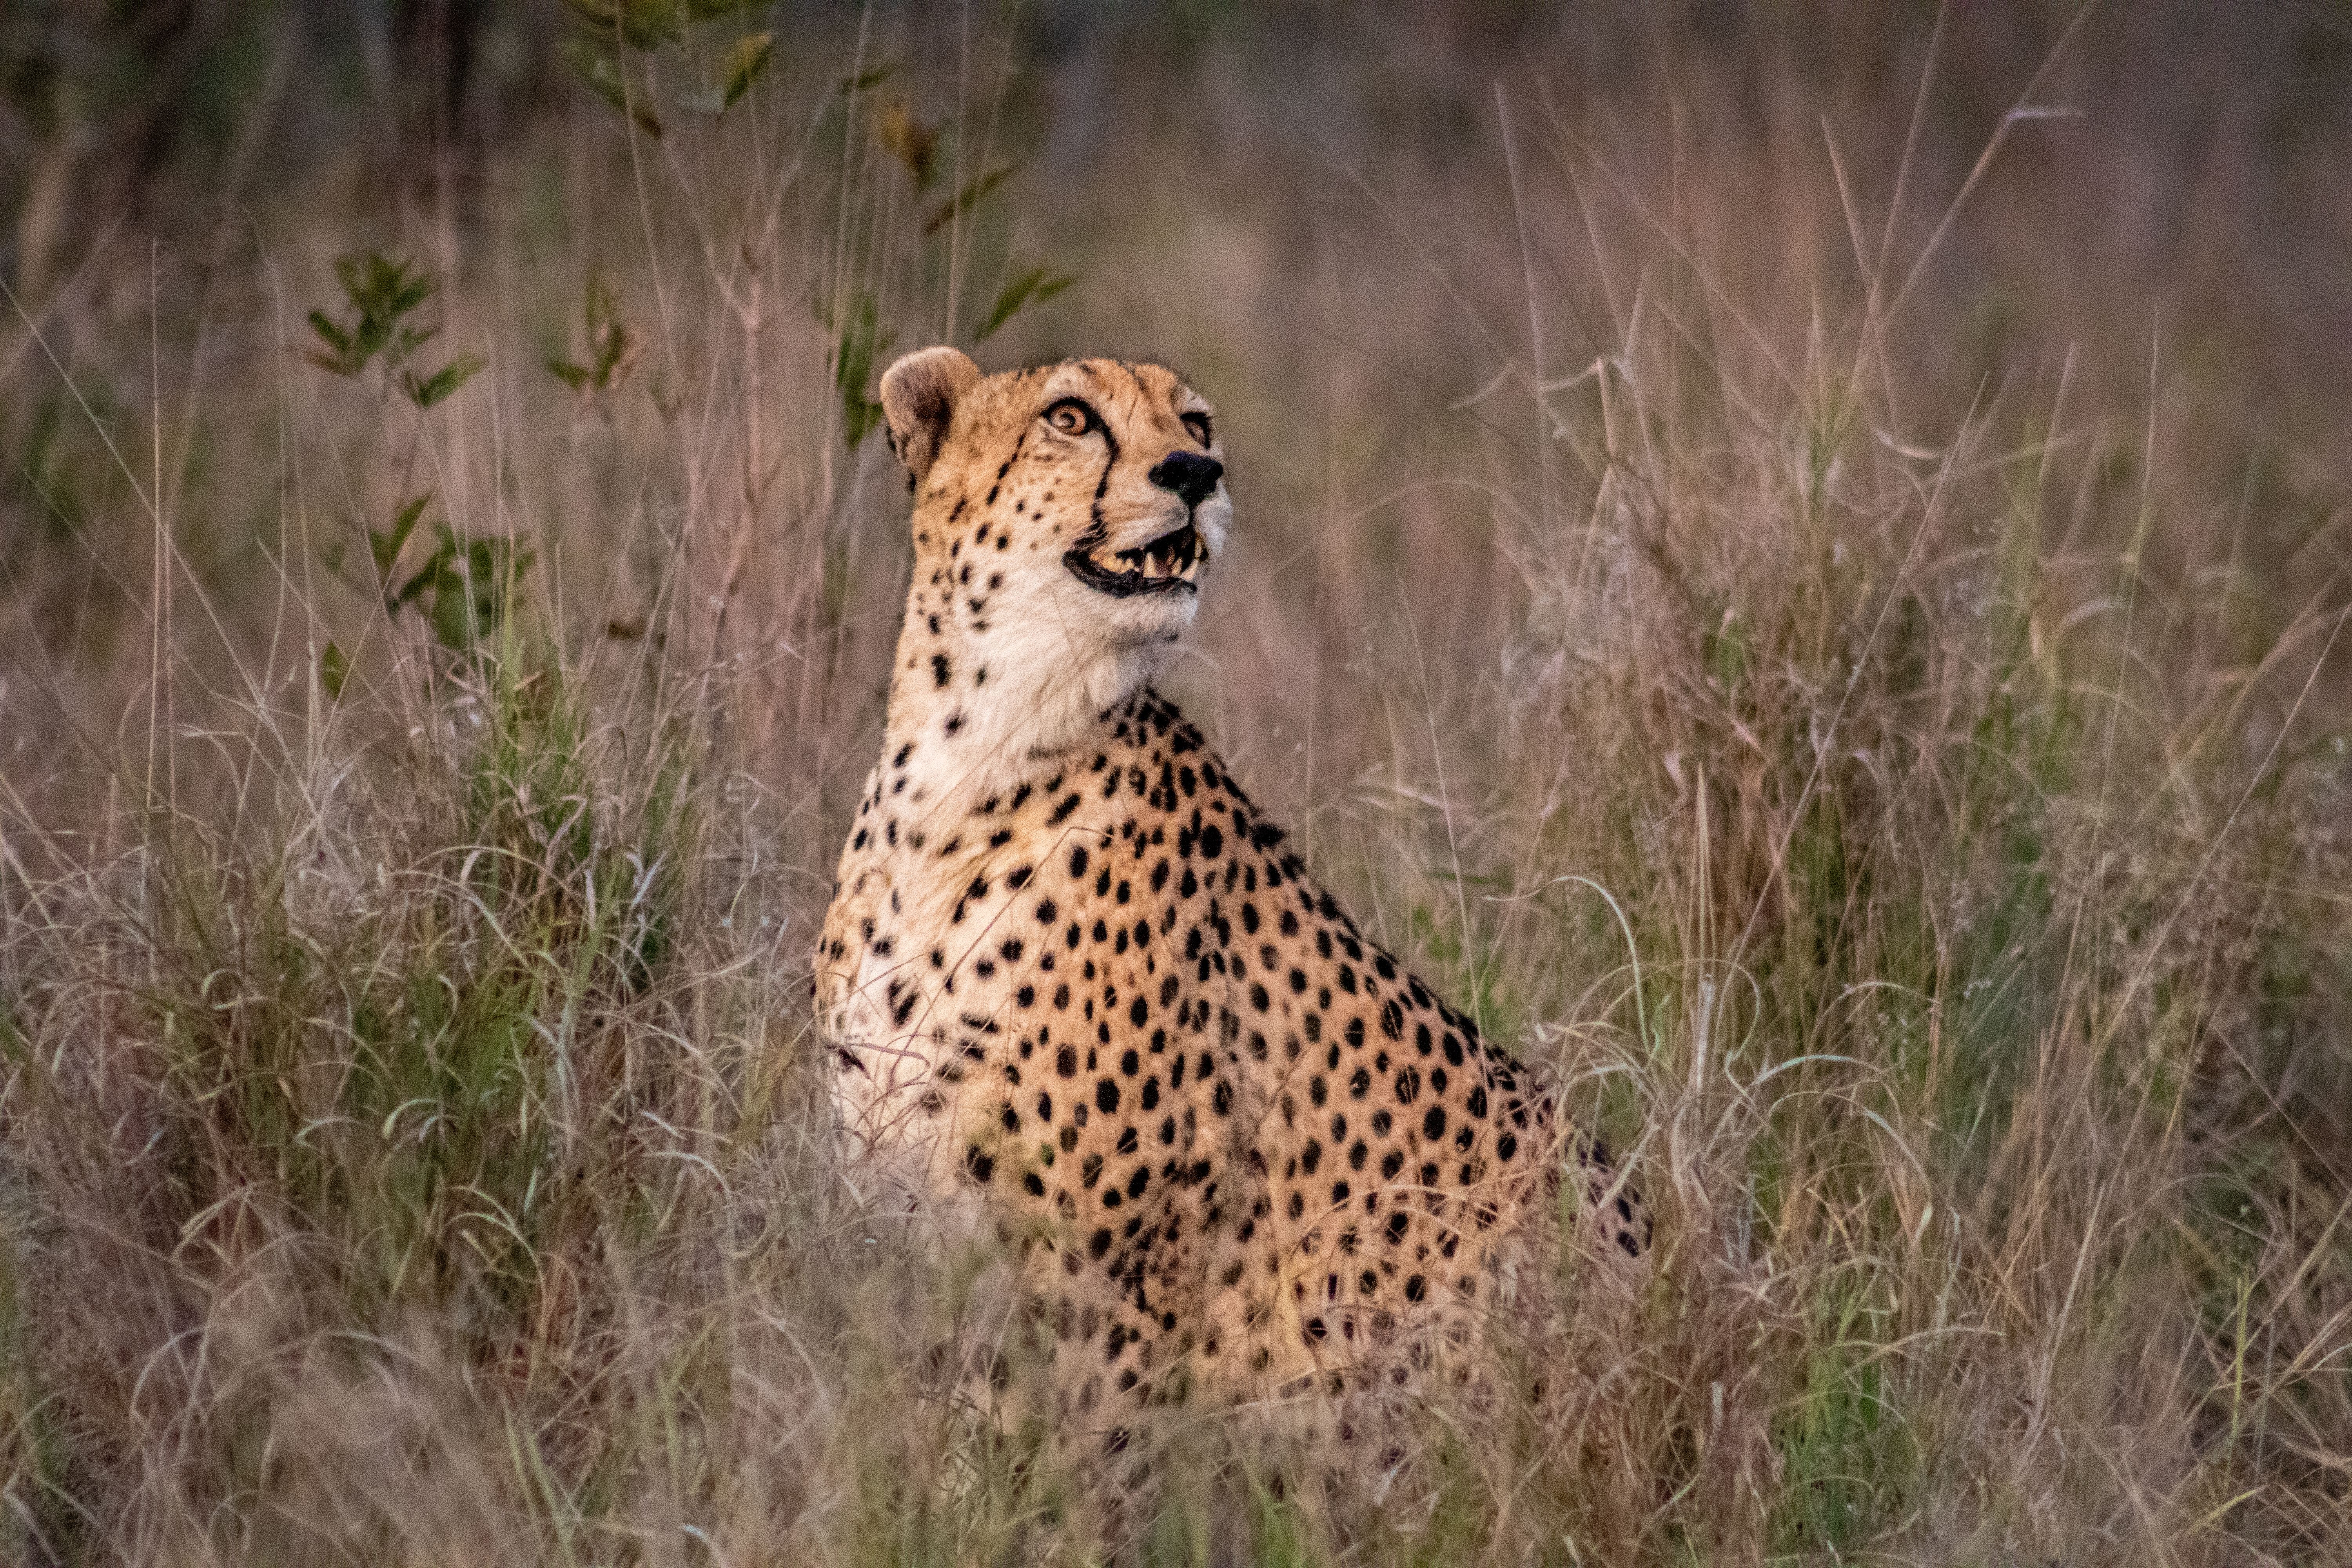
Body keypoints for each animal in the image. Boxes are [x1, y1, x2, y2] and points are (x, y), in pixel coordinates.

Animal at [815, 346, 1647, 1460]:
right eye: (1070, 417)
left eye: (1196, 422)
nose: (1195, 474)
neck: (977, 751)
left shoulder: (1115, 1282)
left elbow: (1058, 1465)